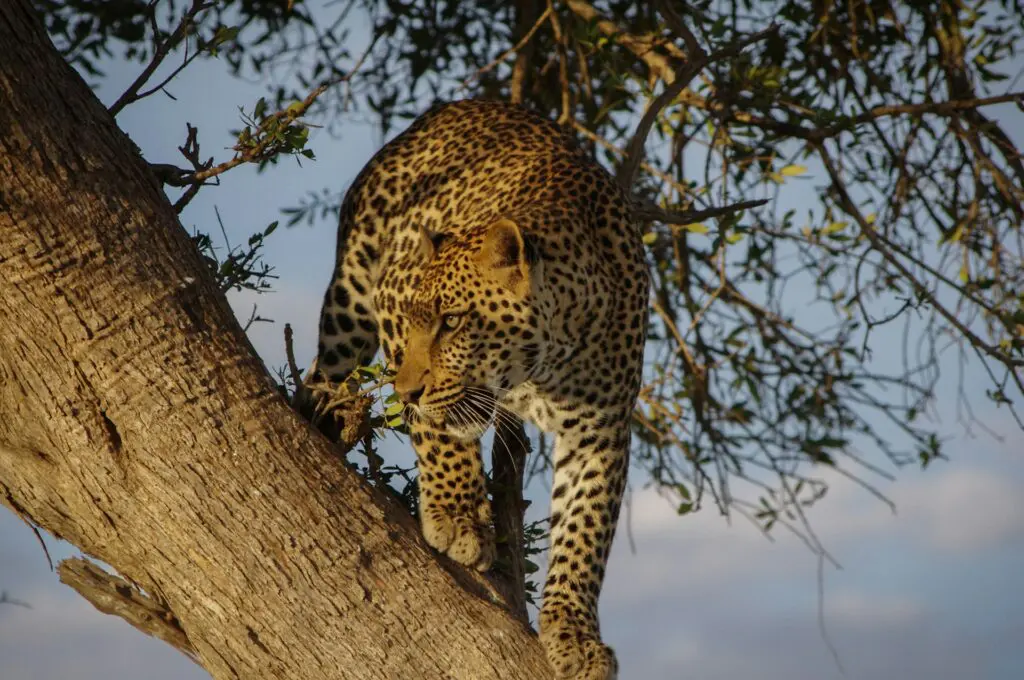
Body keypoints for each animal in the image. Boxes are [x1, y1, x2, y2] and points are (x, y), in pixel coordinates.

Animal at [316, 99, 649, 679]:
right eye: (418, 319)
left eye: (451, 322)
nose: (405, 392)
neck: (544, 363)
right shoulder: (391, 295)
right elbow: (439, 433)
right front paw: (457, 517)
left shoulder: (601, 430)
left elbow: (584, 532)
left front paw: (575, 635)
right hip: (351, 297)